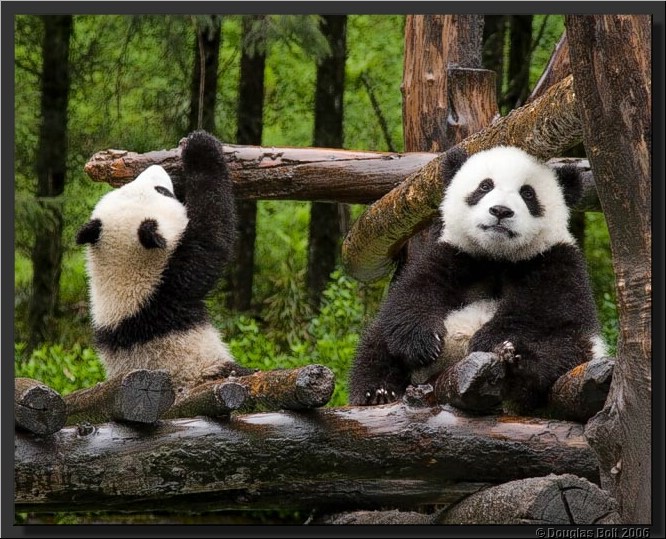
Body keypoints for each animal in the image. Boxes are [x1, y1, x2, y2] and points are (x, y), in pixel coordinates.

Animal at [348, 145, 606, 412]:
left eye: (527, 193)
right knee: (377, 342)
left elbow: (543, 311)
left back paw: (514, 362)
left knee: (562, 352)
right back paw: (379, 392)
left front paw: (488, 341)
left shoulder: (556, 261)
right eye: (485, 186)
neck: (498, 256)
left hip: (584, 348)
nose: (501, 211)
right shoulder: (456, 254)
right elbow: (415, 292)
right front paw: (422, 341)